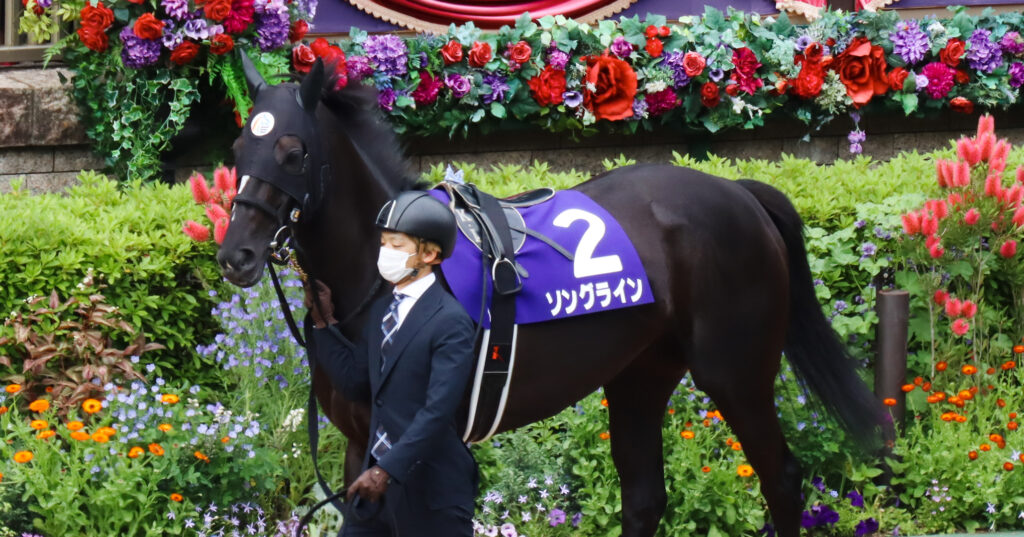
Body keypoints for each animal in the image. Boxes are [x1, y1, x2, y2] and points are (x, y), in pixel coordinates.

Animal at [216, 58, 886, 537]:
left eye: (294, 151)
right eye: (237, 150)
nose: (235, 255)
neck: (387, 281)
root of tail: (740, 192)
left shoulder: (427, 450)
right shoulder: (363, 446)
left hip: (737, 374)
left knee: (783, 481)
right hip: (640, 375)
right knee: (645, 498)